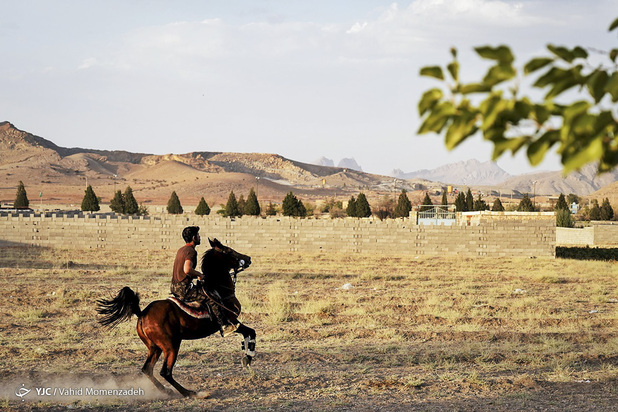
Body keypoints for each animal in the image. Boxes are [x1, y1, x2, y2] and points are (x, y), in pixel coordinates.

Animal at [95, 240, 254, 398]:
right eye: (229, 251)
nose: (248, 258)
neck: (219, 290)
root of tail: (142, 314)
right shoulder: (233, 322)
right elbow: (251, 332)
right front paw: (248, 358)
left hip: (155, 347)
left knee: (147, 369)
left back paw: (167, 391)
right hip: (171, 346)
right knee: (165, 372)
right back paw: (190, 393)